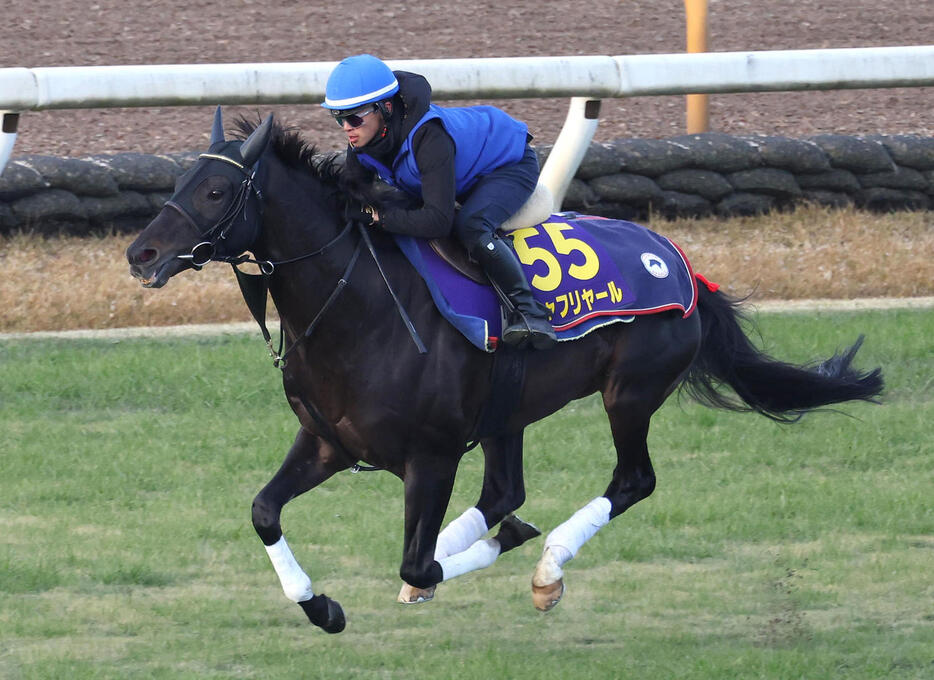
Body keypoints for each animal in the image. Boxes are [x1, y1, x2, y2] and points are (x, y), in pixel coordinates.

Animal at [126, 109, 884, 636]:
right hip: (507, 411)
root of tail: (681, 263)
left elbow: (415, 557)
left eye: (218, 190)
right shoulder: (327, 442)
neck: (358, 307)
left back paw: (547, 568)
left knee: (630, 481)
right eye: (179, 181)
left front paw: (469, 562)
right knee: (503, 492)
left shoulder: (430, 456)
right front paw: (322, 607)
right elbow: (264, 512)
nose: (141, 253)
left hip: (629, 392)